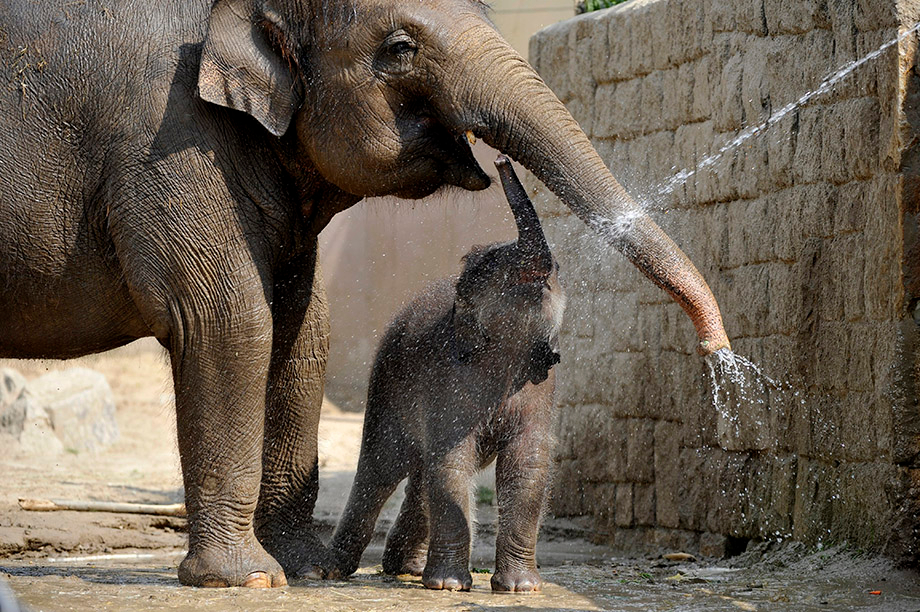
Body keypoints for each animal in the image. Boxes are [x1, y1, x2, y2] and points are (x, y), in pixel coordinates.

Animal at [328, 158, 564, 592]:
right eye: (501, 268)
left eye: (556, 270)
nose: (501, 160)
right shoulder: (448, 377)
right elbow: (453, 461)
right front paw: (450, 586)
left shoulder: (541, 383)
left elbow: (527, 466)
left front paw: (520, 588)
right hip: (385, 383)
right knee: (381, 468)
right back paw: (330, 568)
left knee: (420, 474)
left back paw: (404, 567)